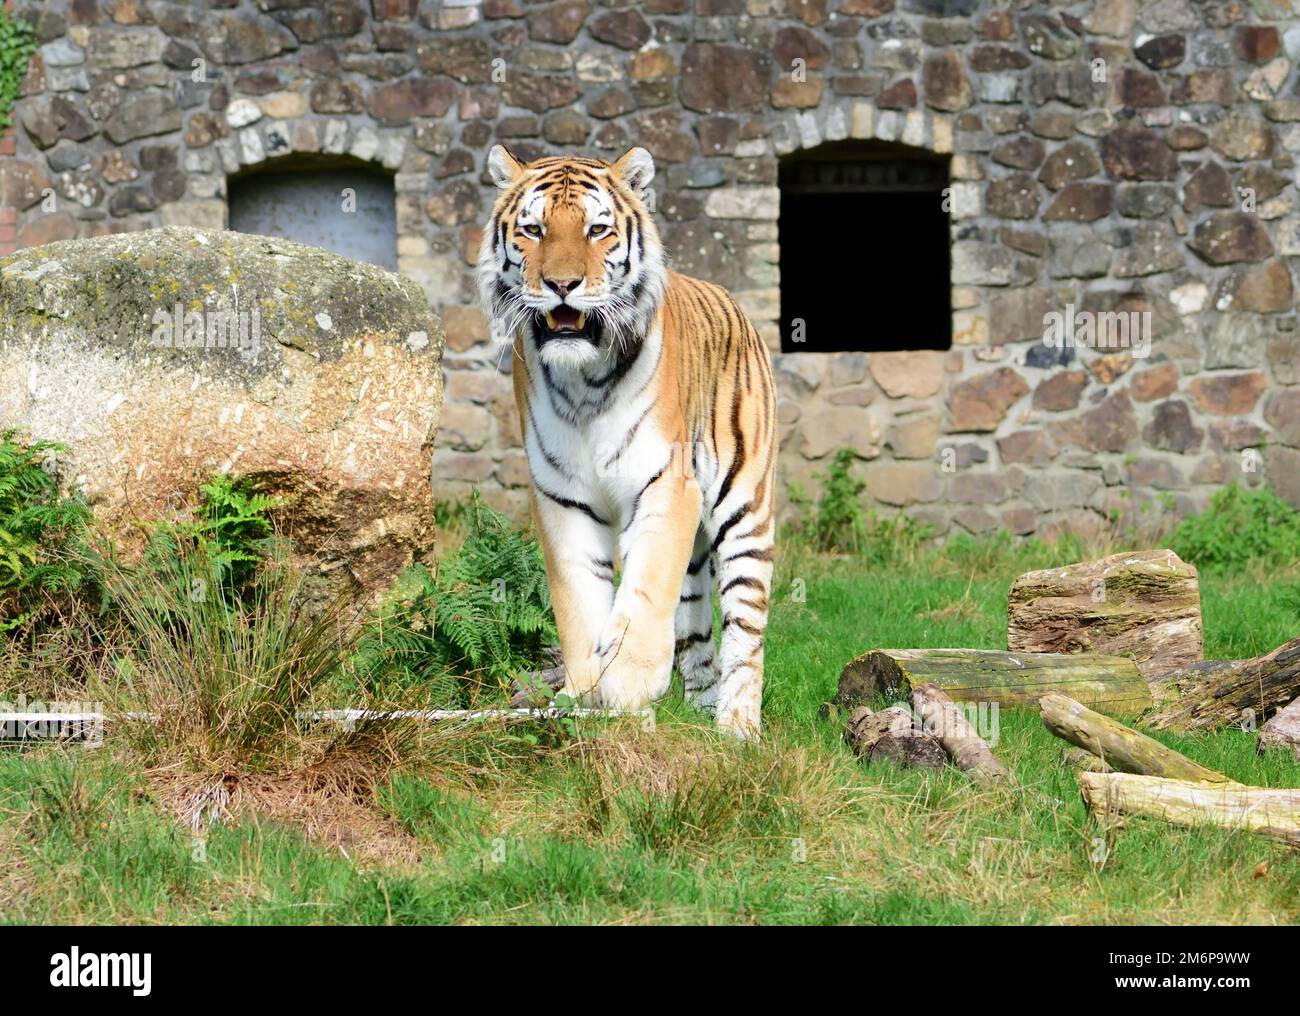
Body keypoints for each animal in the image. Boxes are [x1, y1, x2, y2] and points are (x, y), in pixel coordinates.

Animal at [476, 145, 777, 737]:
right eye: (532, 229)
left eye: (597, 230)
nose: (562, 284)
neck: (584, 382)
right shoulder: (562, 498)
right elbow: (578, 602)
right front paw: (585, 696)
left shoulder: (665, 485)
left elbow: (644, 590)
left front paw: (629, 682)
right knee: (697, 629)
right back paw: (701, 707)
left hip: (745, 508)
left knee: (744, 629)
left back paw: (736, 727)